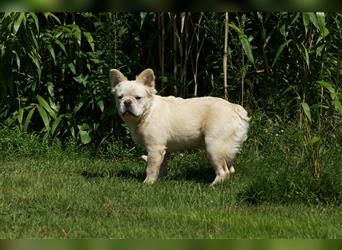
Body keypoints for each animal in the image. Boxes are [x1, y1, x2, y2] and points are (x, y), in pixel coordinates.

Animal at [111, 68, 250, 186]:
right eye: (119, 97)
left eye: (138, 98)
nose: (127, 102)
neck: (147, 113)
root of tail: (234, 108)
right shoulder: (163, 150)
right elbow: (162, 167)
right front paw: (159, 180)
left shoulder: (154, 149)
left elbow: (151, 168)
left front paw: (148, 183)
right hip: (226, 147)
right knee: (230, 168)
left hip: (214, 146)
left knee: (223, 170)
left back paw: (213, 186)